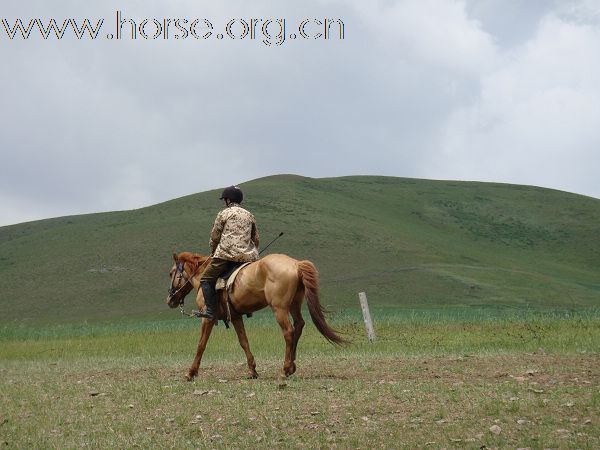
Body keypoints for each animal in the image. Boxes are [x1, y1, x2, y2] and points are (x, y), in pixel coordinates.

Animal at [165, 251, 346, 382]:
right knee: (299, 325)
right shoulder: (236, 317)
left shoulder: (207, 317)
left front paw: (190, 372)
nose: (170, 300)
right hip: (294, 304)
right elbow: (244, 342)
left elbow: (201, 344)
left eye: (171, 273)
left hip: (279, 308)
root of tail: (296, 263)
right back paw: (292, 366)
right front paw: (252, 370)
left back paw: (285, 370)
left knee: (289, 332)